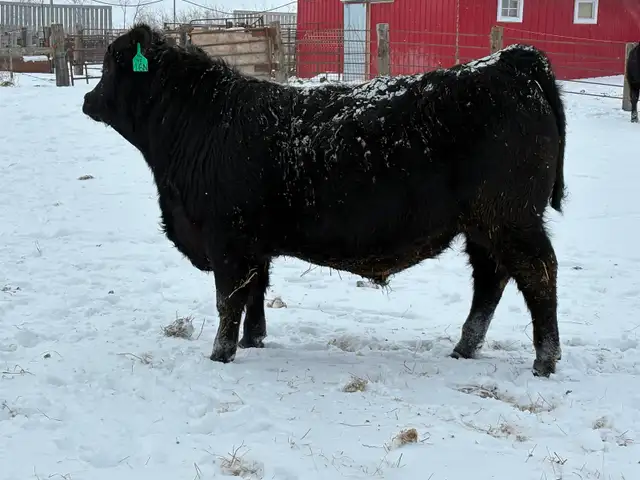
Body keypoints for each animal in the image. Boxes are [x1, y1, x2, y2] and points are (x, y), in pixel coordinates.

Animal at [82, 24, 567, 377]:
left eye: (109, 65)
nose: (87, 98)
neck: (199, 126)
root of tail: (508, 62)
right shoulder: (254, 244)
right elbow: (256, 293)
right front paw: (253, 341)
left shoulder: (227, 240)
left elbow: (229, 299)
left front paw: (221, 354)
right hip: (485, 226)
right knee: (490, 280)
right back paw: (464, 348)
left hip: (510, 217)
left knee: (538, 274)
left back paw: (544, 362)